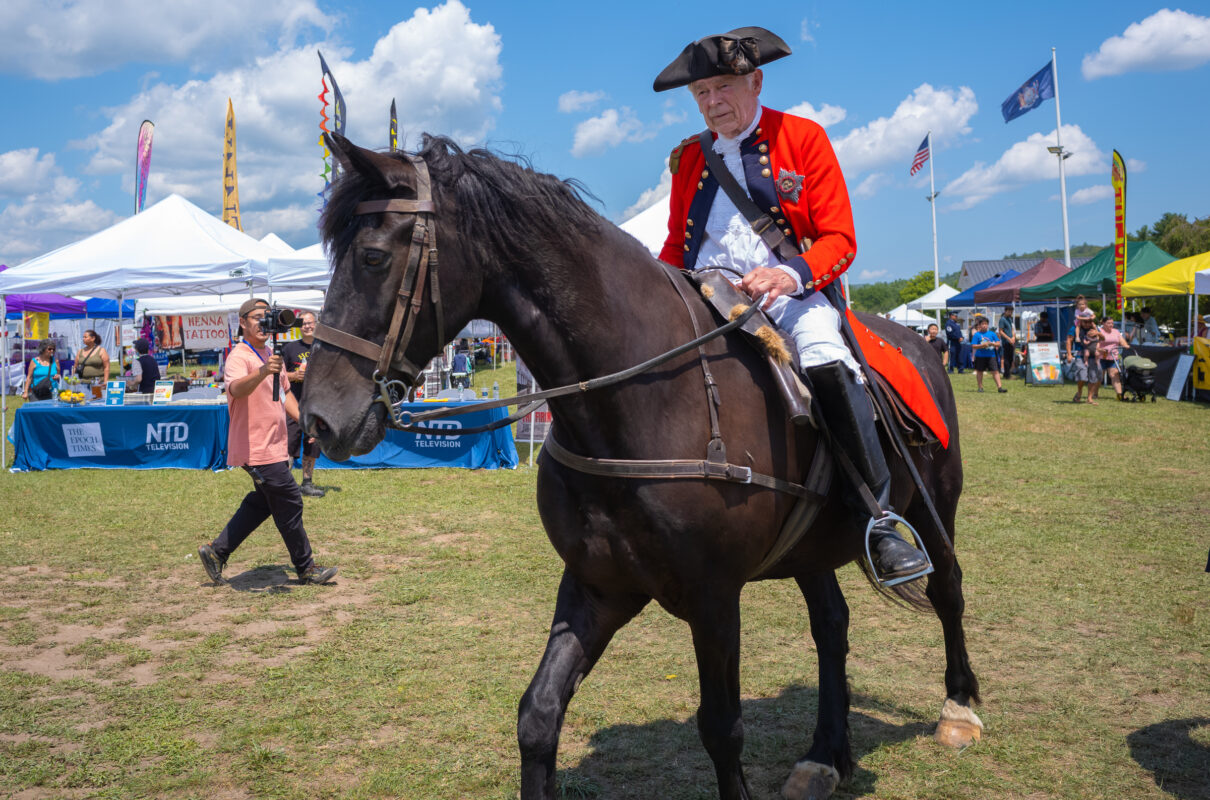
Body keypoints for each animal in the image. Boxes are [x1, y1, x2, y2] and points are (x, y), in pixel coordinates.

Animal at [302, 135, 982, 798]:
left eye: (372, 258)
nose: (317, 418)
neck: (639, 401)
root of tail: (915, 343)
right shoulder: (599, 586)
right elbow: (538, 714)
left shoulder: (714, 599)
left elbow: (722, 728)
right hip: (808, 548)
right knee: (832, 626)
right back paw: (825, 755)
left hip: (934, 508)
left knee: (947, 587)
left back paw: (959, 708)